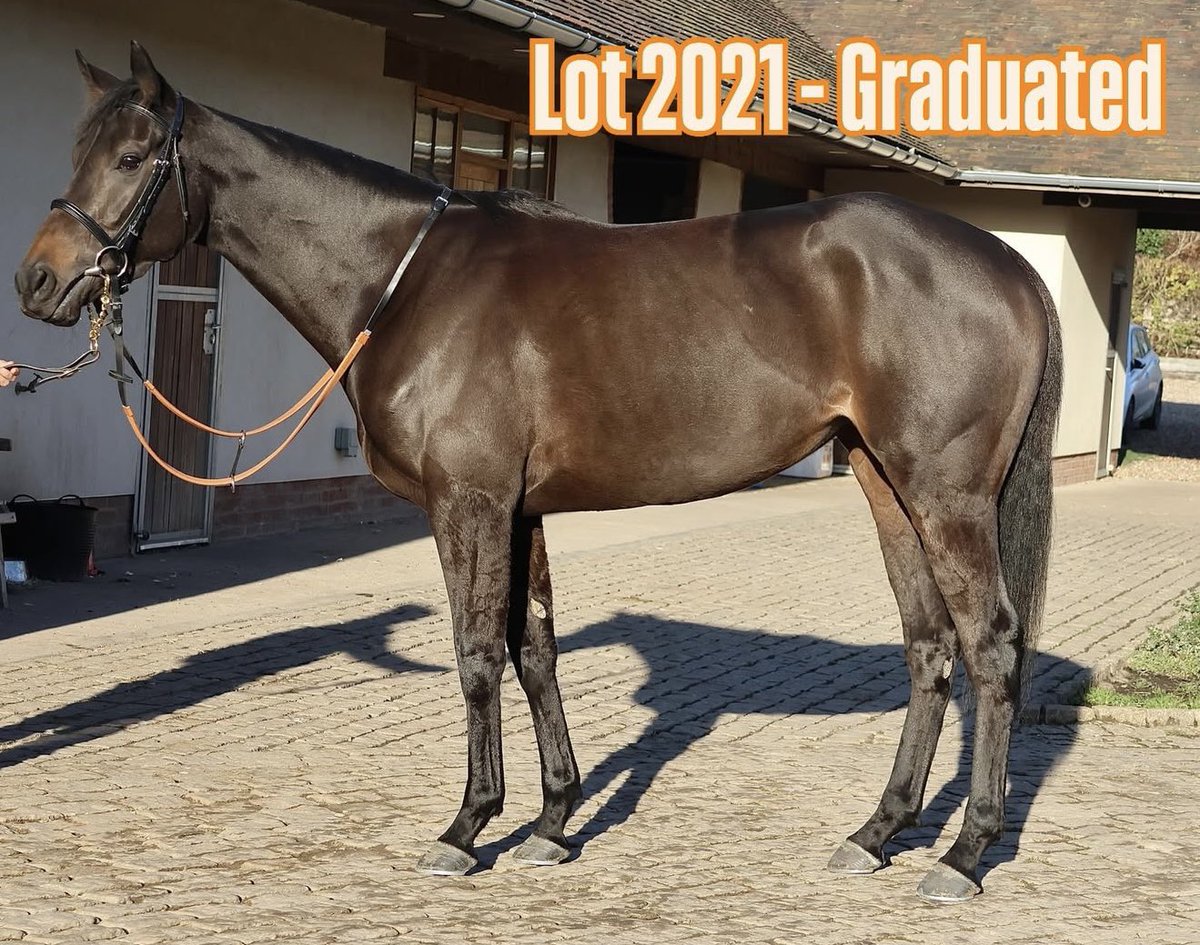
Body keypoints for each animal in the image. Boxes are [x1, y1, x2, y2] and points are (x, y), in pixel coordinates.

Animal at [14, 43, 1062, 904]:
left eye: (134, 160)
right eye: (77, 151)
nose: (38, 281)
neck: (409, 281)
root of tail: (1008, 264)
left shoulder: (469, 501)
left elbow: (478, 656)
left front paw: (466, 827)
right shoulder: (521, 509)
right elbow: (537, 651)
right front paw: (554, 822)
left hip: (946, 496)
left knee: (990, 645)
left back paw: (964, 852)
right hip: (887, 484)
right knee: (929, 646)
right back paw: (877, 832)